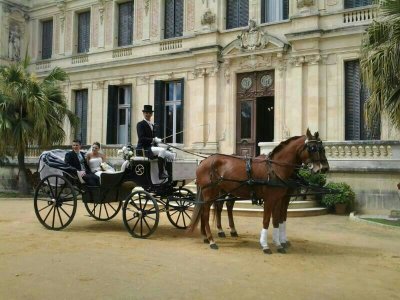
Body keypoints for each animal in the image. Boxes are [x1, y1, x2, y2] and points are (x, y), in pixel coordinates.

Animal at [189, 130, 330, 254]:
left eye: (322, 148)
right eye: (313, 148)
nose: (324, 168)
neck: (275, 168)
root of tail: (204, 160)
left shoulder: (280, 199)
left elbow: (278, 220)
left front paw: (279, 243)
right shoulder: (270, 200)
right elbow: (267, 220)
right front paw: (265, 245)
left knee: (215, 208)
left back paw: (209, 236)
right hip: (210, 193)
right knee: (206, 213)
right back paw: (212, 240)